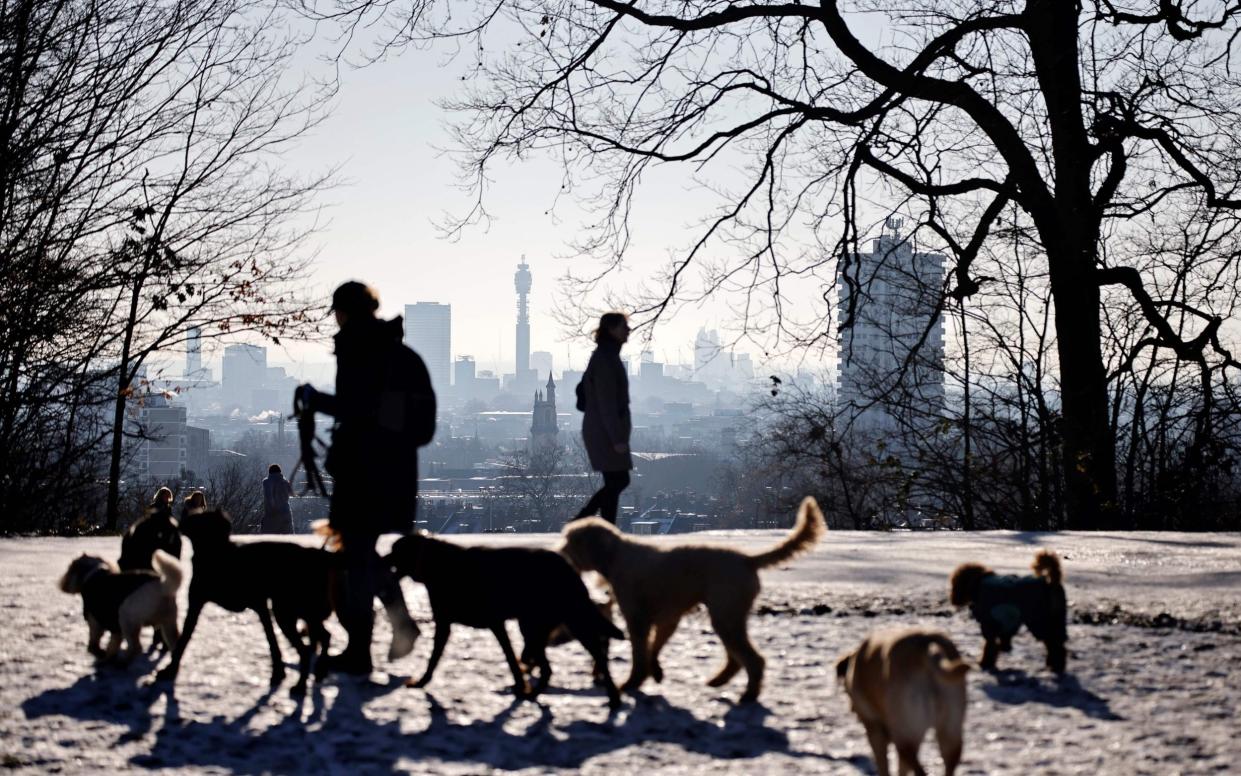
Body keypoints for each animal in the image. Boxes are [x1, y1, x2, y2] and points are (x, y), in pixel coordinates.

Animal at [155, 511, 340, 695]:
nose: (179, 524)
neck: (216, 554)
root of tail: (319, 555)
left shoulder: (259, 604)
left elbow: (272, 640)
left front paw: (278, 672)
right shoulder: (196, 603)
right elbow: (183, 639)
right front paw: (171, 670)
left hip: (288, 611)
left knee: (308, 647)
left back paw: (302, 685)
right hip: (298, 610)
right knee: (323, 636)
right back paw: (319, 671)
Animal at [384, 531, 625, 710]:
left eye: (395, 551)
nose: (382, 559)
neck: (436, 563)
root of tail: (567, 567)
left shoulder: (461, 624)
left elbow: (434, 658)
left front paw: (422, 681)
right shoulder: (491, 625)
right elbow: (511, 658)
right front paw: (520, 685)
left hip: (542, 625)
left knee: (571, 662)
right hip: (550, 624)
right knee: (566, 663)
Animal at [563, 496, 824, 700]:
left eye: (571, 541)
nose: (559, 553)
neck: (615, 556)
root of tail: (747, 560)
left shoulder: (638, 619)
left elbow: (640, 655)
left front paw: (631, 683)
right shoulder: (666, 619)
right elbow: (654, 648)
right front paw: (655, 672)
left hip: (725, 615)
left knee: (753, 660)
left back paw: (748, 695)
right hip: (728, 617)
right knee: (736, 659)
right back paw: (719, 681)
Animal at [833, 625, 967, 774]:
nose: (851, 709)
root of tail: (925, 642)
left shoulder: (874, 729)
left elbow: (883, 765)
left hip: (904, 734)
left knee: (917, 767)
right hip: (950, 729)